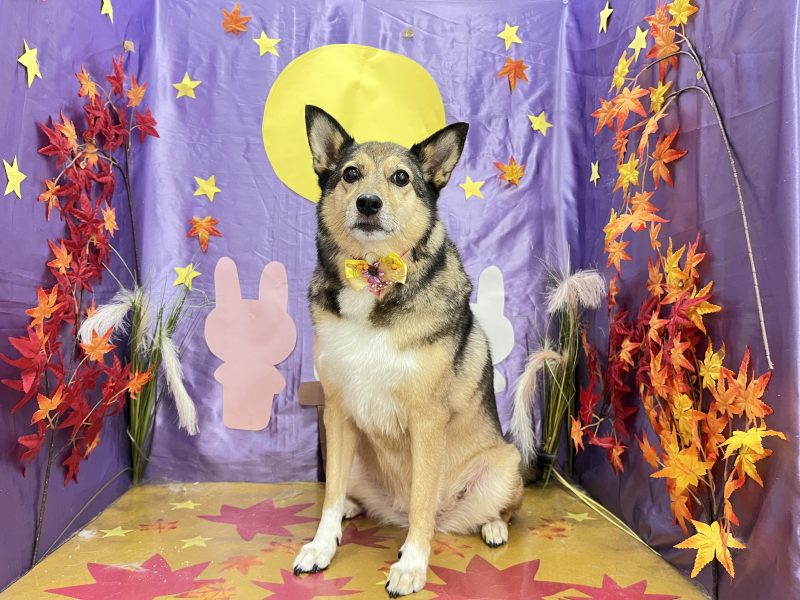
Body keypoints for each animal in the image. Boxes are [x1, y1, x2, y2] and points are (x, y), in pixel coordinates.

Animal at [293, 106, 524, 597]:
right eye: (350, 174)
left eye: (401, 177)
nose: (368, 203)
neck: (373, 277)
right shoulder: (337, 411)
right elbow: (329, 494)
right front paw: (322, 546)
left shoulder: (426, 420)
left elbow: (422, 503)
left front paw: (412, 566)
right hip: (356, 456)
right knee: (346, 492)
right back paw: (352, 510)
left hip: (506, 462)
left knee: (494, 510)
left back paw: (493, 526)